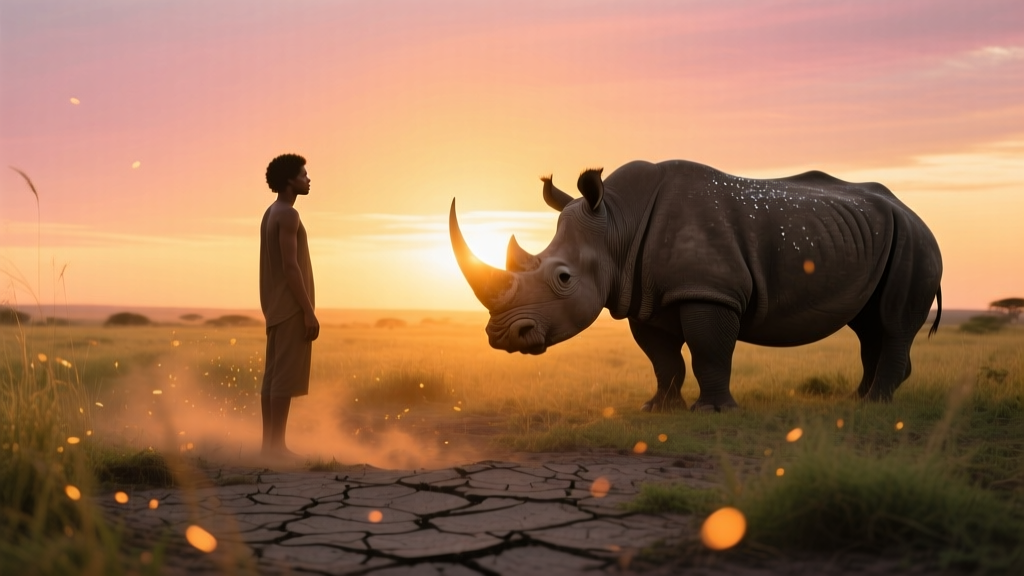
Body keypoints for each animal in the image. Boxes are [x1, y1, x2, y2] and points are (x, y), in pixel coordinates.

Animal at [449, 160, 943, 411]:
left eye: (563, 278)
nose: (501, 337)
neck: (617, 223)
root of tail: (912, 210)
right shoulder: (642, 297)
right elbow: (662, 358)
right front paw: (659, 409)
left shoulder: (710, 290)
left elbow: (709, 351)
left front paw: (714, 412)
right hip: (880, 236)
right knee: (868, 325)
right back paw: (858, 401)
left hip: (915, 240)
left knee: (892, 323)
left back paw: (875, 405)